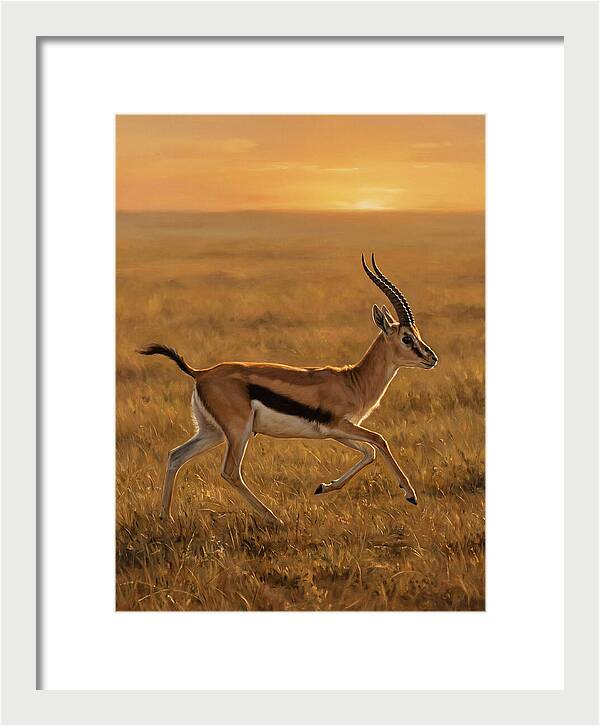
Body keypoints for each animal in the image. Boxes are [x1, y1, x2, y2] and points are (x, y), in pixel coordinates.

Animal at [138, 255, 437, 526]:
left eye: (417, 334)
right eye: (406, 338)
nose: (432, 358)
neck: (353, 381)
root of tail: (201, 372)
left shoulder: (336, 432)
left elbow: (369, 452)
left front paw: (323, 487)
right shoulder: (339, 425)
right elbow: (379, 440)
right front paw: (410, 495)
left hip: (212, 432)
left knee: (176, 455)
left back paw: (166, 517)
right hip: (238, 431)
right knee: (230, 472)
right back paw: (274, 518)